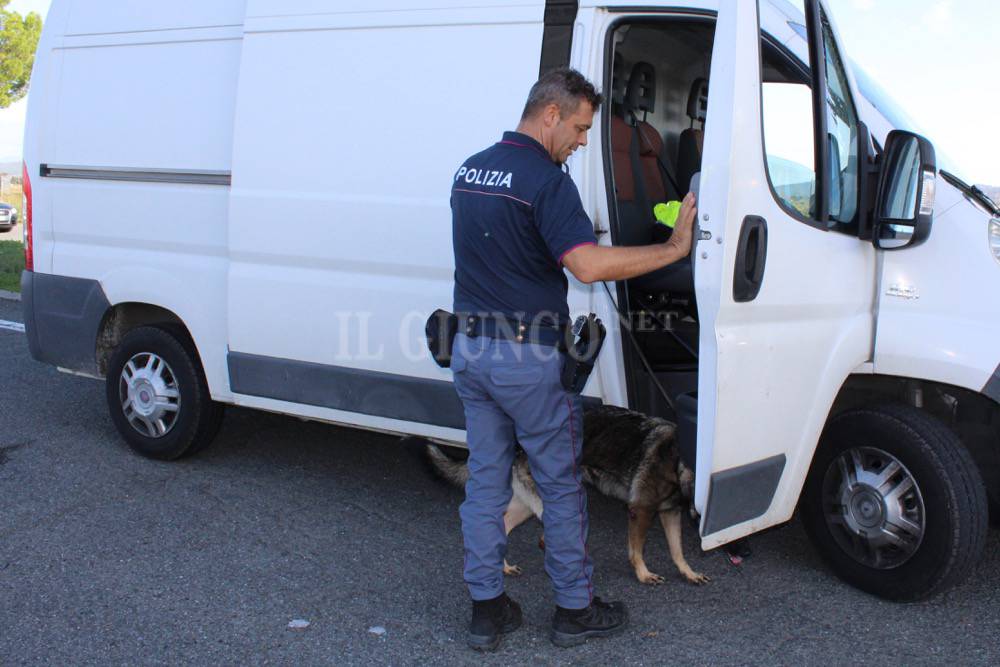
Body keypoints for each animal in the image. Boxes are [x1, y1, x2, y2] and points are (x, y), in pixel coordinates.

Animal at [426, 404, 708, 588]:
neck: (677, 455)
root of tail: (517, 439)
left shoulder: (670, 513)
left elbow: (677, 550)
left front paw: (688, 572)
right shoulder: (641, 511)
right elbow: (636, 550)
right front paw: (643, 574)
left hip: (528, 504)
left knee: (504, 524)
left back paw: (504, 565)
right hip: (547, 501)